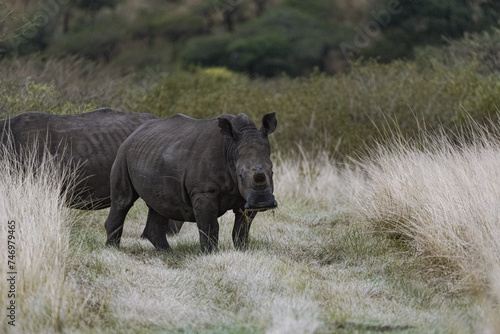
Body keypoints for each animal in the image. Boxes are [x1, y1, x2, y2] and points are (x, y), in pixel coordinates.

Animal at [105, 113, 278, 252]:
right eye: (240, 175)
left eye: (272, 171)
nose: (263, 203)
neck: (231, 148)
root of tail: (133, 134)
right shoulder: (203, 192)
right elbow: (209, 226)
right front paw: (210, 255)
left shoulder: (246, 198)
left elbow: (242, 228)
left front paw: (243, 251)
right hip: (123, 153)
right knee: (123, 200)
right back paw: (112, 251)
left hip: (153, 154)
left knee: (159, 204)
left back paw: (167, 253)